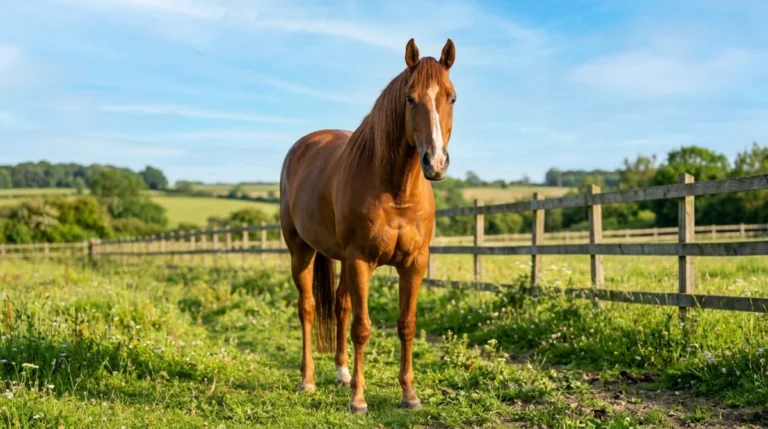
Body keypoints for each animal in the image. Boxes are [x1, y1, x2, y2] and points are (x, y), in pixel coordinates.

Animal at [279, 38, 457, 414]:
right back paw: (308, 381)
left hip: (342, 260)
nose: (435, 162)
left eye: (451, 97)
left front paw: (409, 395)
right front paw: (358, 399)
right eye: (410, 98)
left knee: (341, 305)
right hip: (301, 251)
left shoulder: (414, 264)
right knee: (307, 309)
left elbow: (406, 325)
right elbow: (362, 327)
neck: (396, 190)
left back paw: (342, 373)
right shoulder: (361, 260)